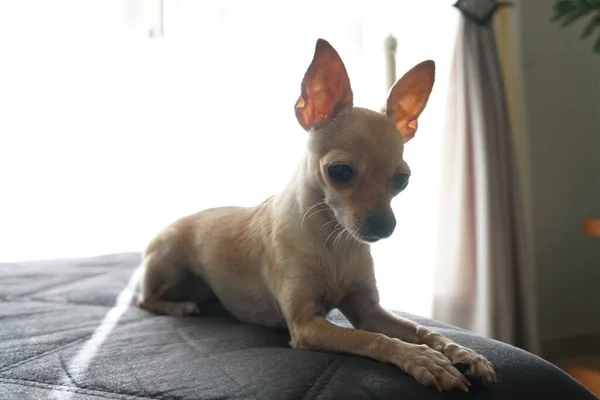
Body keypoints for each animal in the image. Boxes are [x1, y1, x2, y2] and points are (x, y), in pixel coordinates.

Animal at [137, 39, 496, 392]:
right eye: (339, 171)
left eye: (402, 180)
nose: (385, 225)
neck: (335, 241)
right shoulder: (307, 324)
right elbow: (371, 339)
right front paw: (422, 359)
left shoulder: (369, 310)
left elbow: (422, 330)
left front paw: (461, 352)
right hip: (168, 264)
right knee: (145, 300)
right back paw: (178, 306)